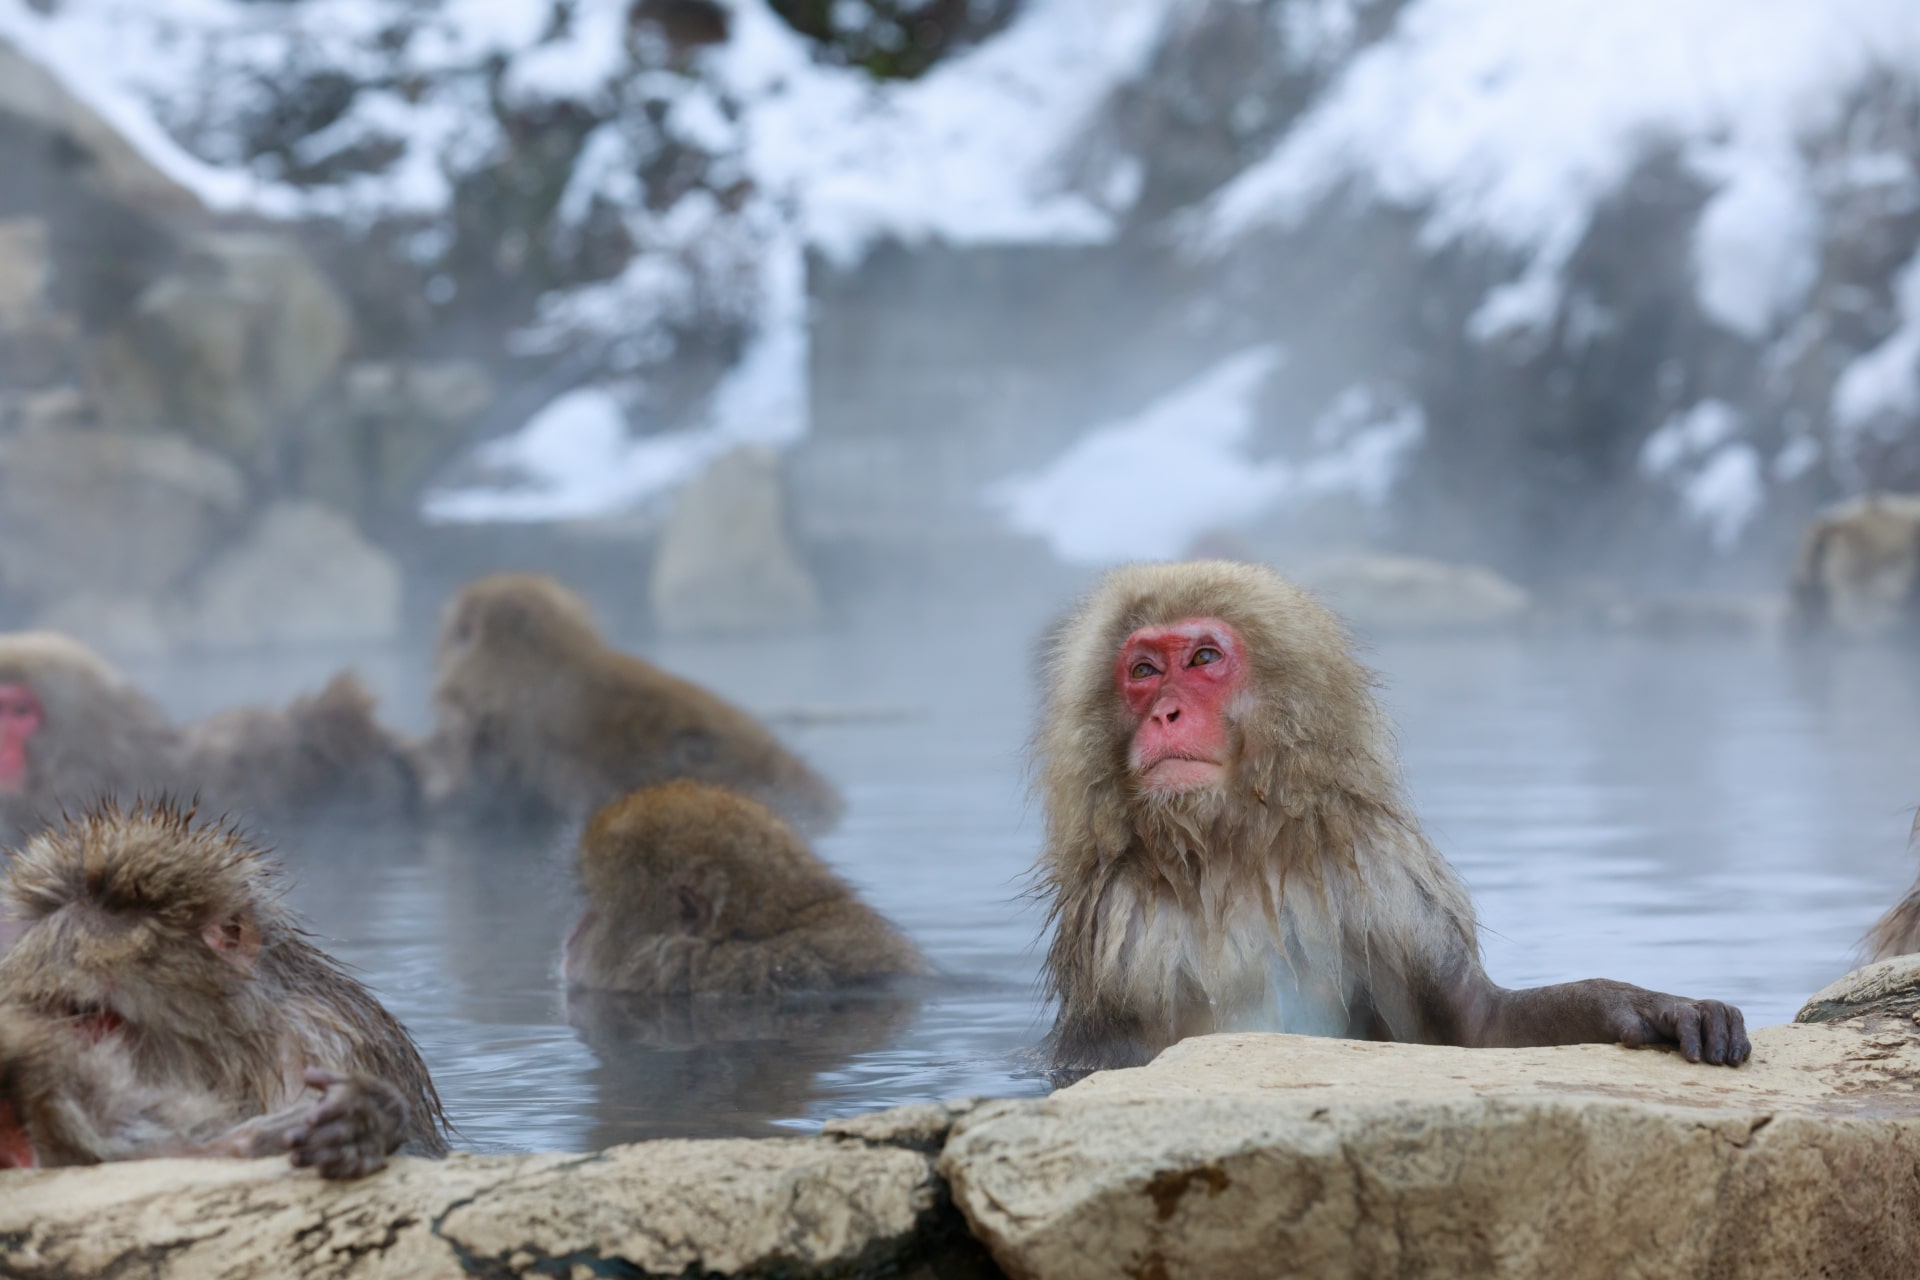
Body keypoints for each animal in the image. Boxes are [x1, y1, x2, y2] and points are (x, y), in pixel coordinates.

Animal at [1036, 564, 1758, 1074]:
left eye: (1203, 659)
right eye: (1143, 669)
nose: (1164, 712)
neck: (1234, 854)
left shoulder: (1380, 873)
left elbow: (1476, 1026)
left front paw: (1644, 1005)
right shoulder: (1118, 932)